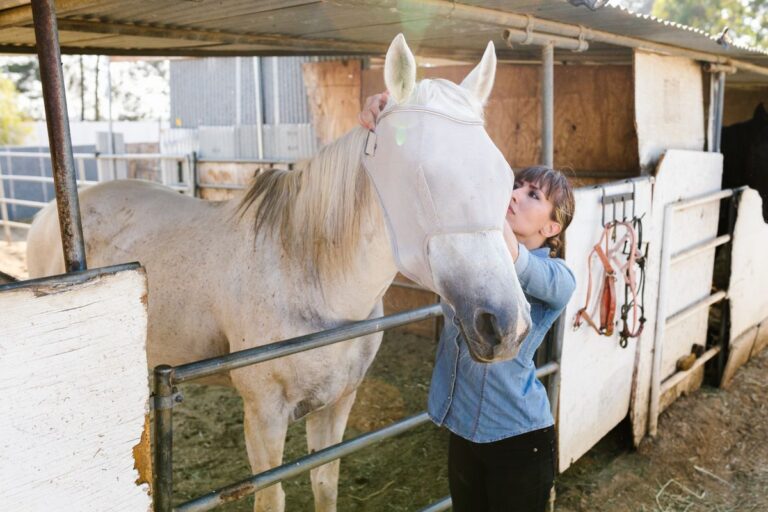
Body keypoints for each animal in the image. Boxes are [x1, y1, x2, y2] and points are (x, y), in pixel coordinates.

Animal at [26, 34, 530, 512]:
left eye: (504, 177)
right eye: (422, 176)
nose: (506, 325)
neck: (309, 272)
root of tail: (49, 215)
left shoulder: (338, 402)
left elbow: (325, 485)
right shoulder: (264, 415)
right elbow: (271, 499)